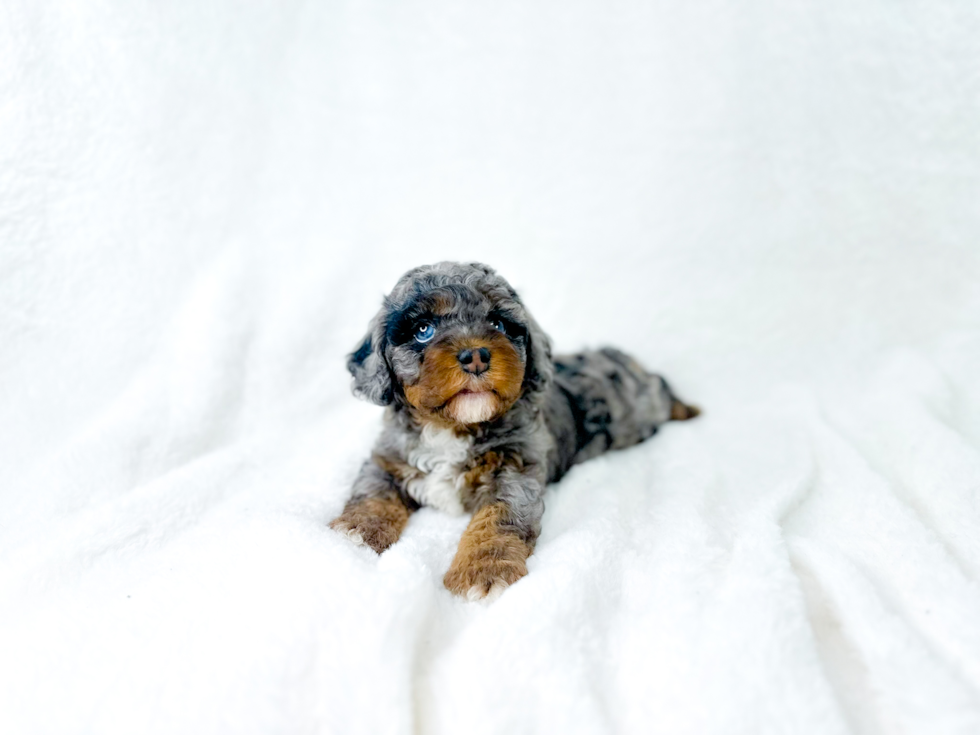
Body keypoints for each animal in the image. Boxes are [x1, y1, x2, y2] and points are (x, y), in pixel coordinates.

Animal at [334, 262, 700, 600]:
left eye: (498, 324)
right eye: (423, 329)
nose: (476, 355)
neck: (453, 427)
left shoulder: (515, 471)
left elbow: (497, 518)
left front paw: (484, 569)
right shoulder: (388, 459)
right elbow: (373, 493)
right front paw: (356, 530)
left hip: (644, 405)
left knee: (661, 387)